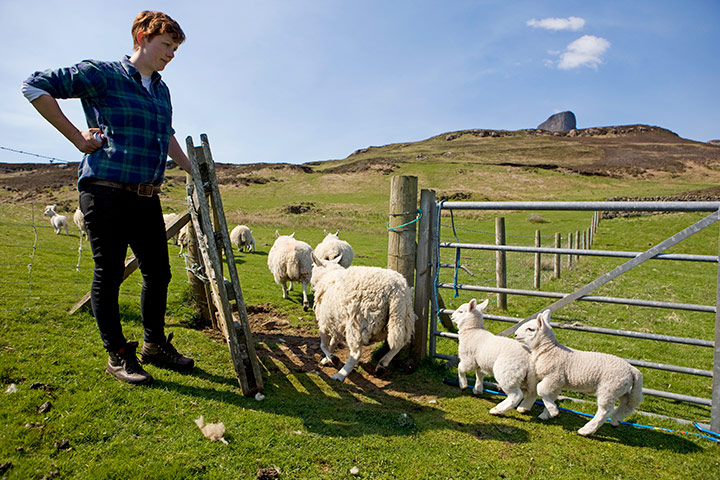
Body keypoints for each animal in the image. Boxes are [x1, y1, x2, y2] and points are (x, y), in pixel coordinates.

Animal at [516, 310, 644, 436]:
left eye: (530, 329)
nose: (515, 334)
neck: (550, 351)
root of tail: (632, 369)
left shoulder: (555, 376)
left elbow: (540, 390)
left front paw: (553, 410)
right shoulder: (558, 383)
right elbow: (550, 395)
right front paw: (547, 414)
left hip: (609, 388)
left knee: (605, 411)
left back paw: (586, 430)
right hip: (621, 387)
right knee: (627, 403)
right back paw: (616, 420)